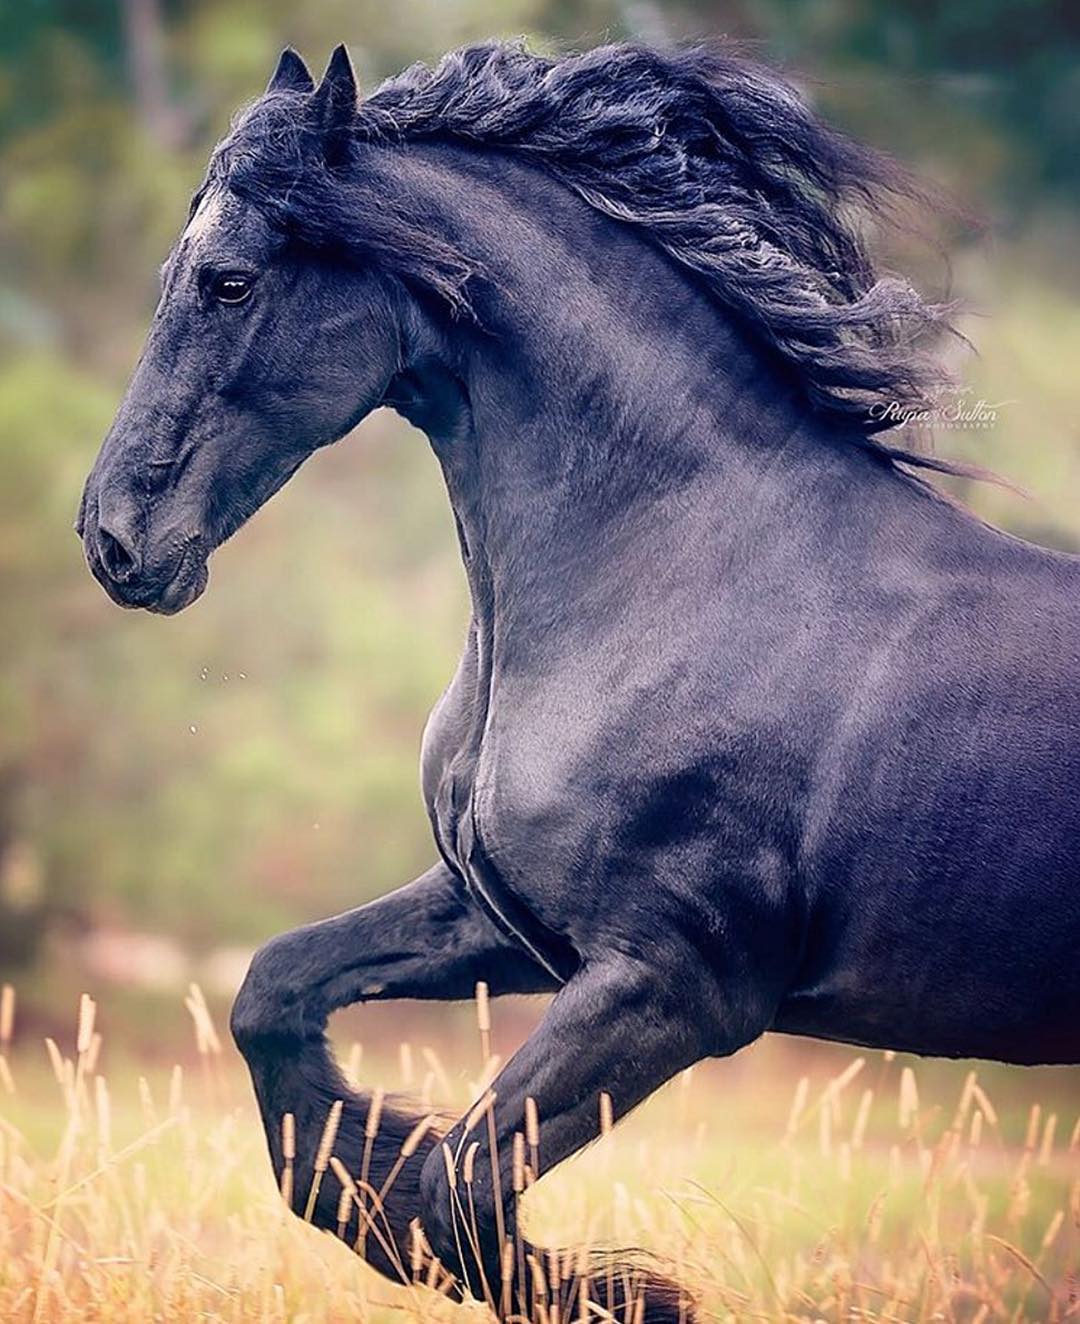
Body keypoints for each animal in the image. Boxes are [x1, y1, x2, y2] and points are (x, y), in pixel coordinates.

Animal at [77, 39, 1080, 1321]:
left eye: (231, 284)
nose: (113, 540)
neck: (673, 571)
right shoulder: (508, 921)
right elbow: (274, 999)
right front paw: (369, 1173)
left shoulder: (673, 986)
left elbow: (459, 1187)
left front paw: (630, 1292)